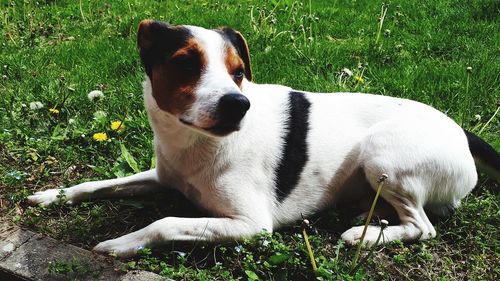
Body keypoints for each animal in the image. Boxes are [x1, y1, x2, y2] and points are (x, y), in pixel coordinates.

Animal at [28, 20, 500, 258]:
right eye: (185, 64)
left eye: (239, 72)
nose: (239, 104)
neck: (194, 144)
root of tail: (462, 132)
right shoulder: (163, 177)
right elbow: (98, 184)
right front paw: (53, 195)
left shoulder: (251, 224)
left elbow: (165, 223)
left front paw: (122, 243)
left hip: (381, 156)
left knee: (423, 227)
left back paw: (364, 235)